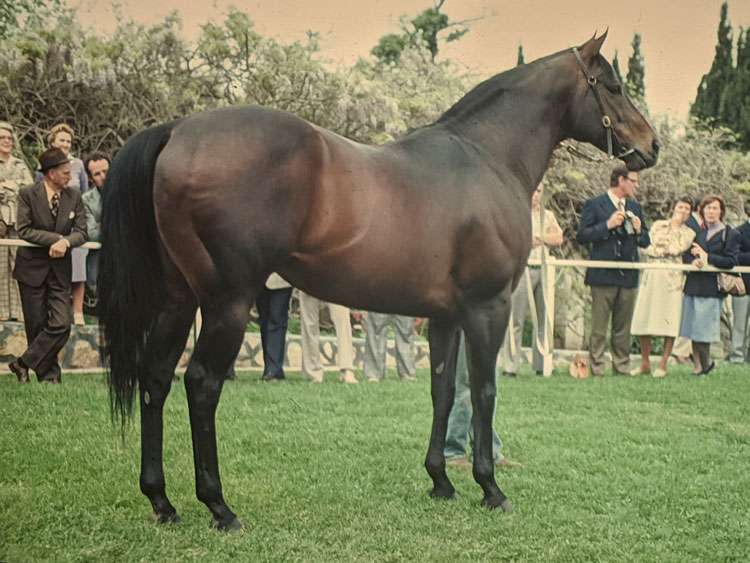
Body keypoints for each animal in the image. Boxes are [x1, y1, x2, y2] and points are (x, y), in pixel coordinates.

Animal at [99, 32, 658, 531]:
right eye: (612, 86)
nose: (651, 145)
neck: (486, 157)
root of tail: (178, 131)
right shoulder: (488, 307)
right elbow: (483, 391)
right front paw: (491, 488)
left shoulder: (445, 317)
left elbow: (441, 391)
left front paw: (441, 482)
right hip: (227, 305)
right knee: (200, 385)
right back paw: (219, 507)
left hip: (178, 302)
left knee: (154, 379)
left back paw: (162, 501)